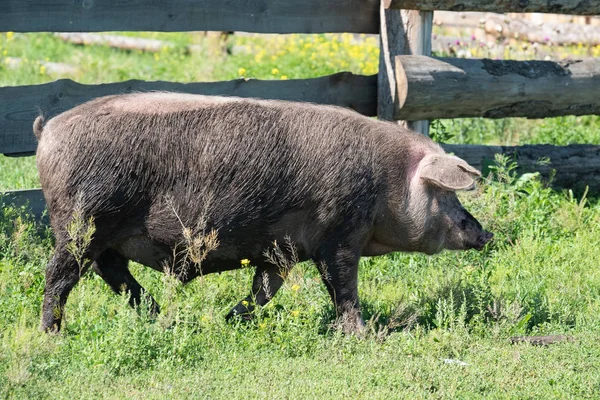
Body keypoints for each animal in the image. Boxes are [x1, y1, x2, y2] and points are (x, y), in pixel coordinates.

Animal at [34, 91, 492, 334]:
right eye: (447, 195)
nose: (485, 234)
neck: (386, 183)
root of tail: (48, 129)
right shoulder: (340, 234)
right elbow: (343, 287)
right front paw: (364, 335)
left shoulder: (280, 250)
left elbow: (264, 289)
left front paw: (230, 319)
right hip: (81, 223)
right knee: (60, 275)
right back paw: (53, 333)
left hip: (101, 235)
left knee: (113, 273)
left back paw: (160, 319)